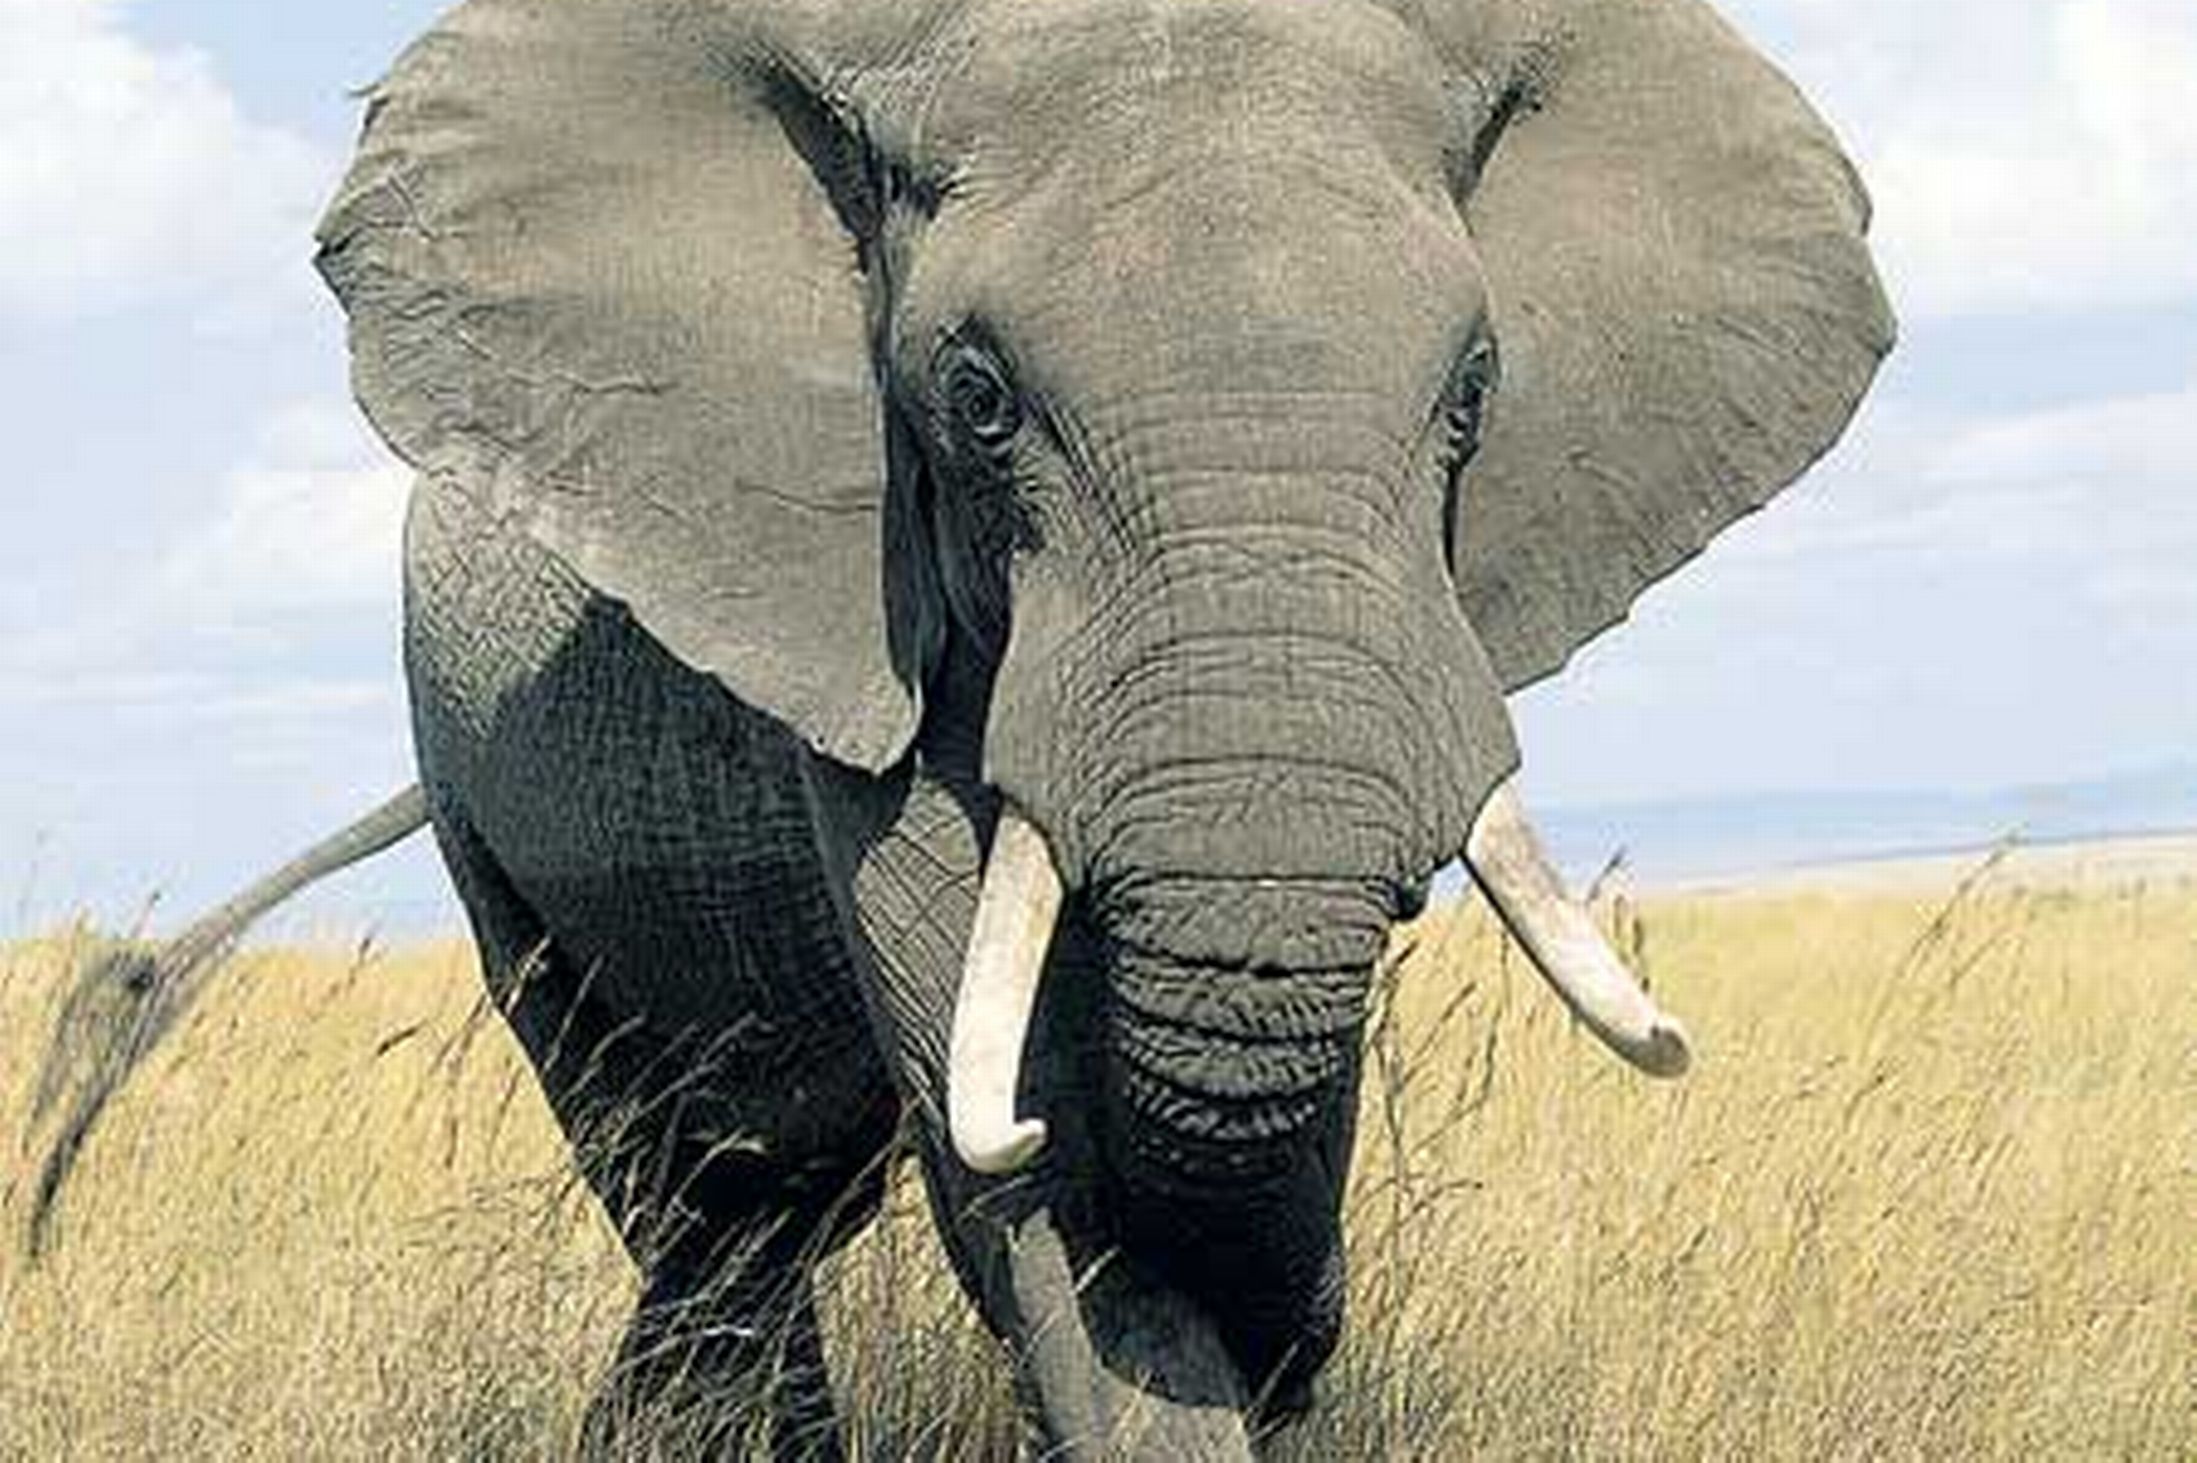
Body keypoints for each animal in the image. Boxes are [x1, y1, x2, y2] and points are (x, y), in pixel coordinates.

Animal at [22, 0, 1892, 1454]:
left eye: (1476, 390)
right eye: (978, 402)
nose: (1303, 1346)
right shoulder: (852, 618)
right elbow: (1021, 1152)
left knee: (770, 1197)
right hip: (473, 793)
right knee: (693, 1199)